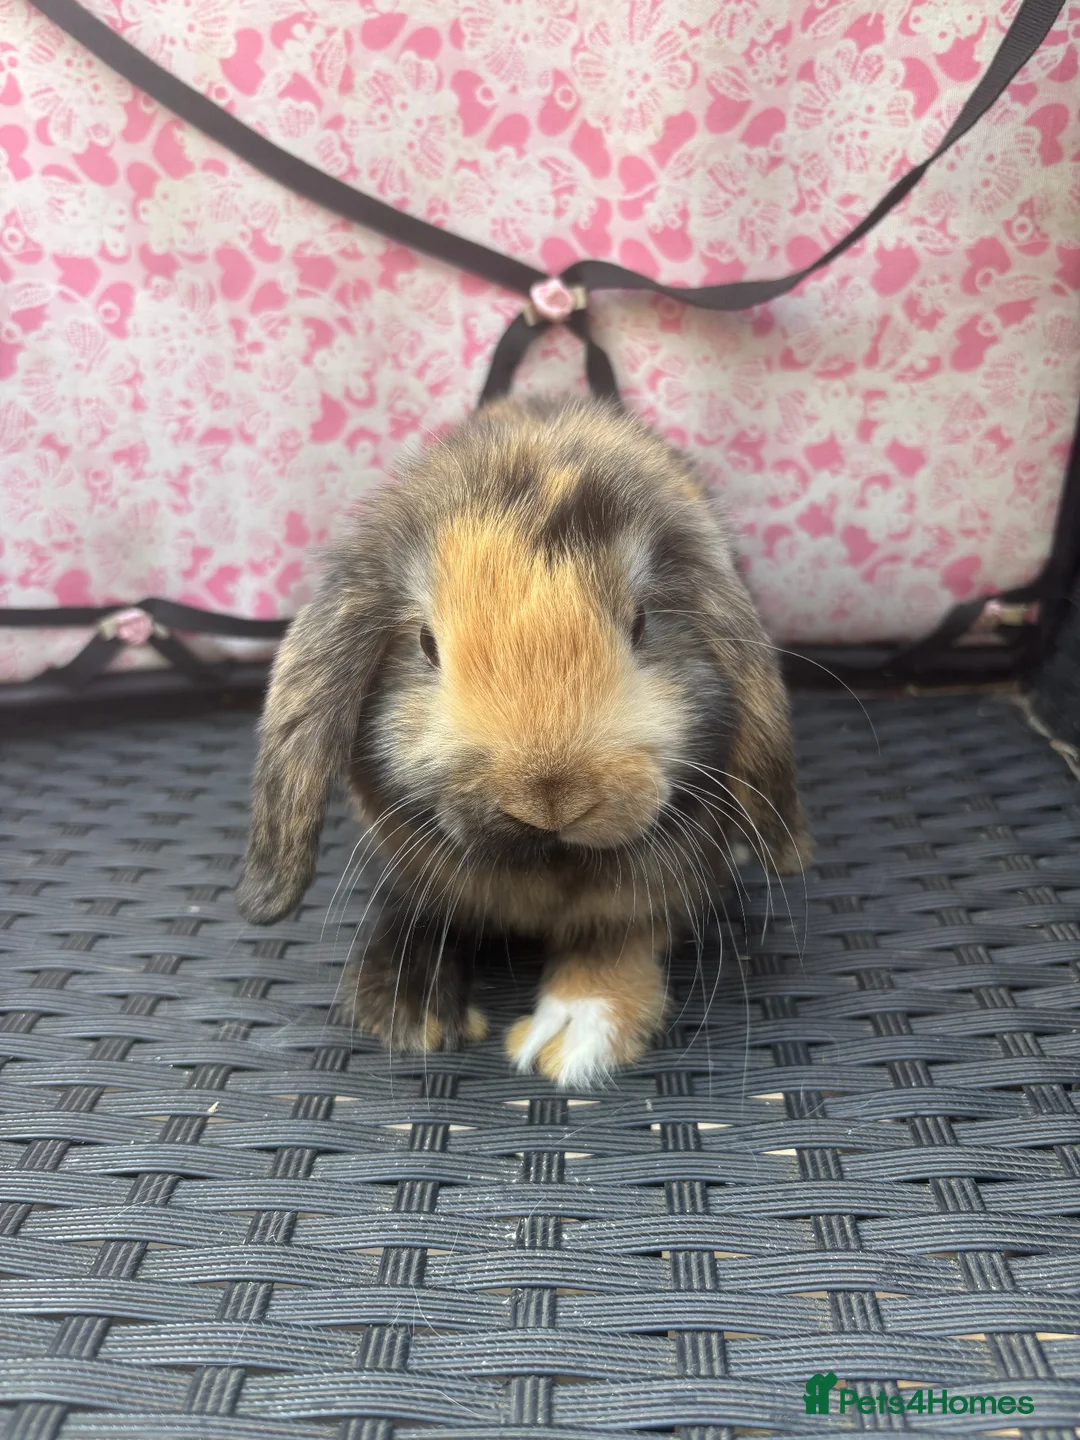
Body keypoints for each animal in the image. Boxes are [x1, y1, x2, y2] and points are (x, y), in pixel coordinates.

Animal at [235, 396, 810, 1087]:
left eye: (642, 623)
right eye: (426, 645)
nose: (551, 798)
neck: (546, 860)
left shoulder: (656, 891)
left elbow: (616, 942)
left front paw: (572, 1032)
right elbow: (417, 913)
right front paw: (407, 1011)